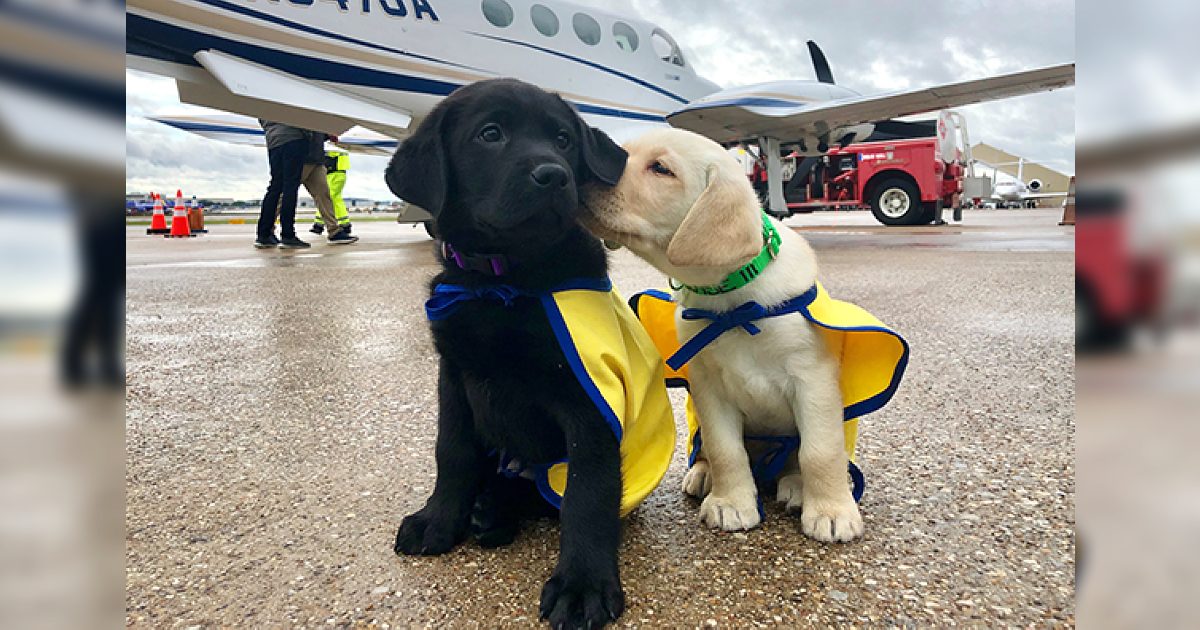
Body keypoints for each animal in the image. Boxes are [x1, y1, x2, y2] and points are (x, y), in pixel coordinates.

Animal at [386, 79, 633, 628]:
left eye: (564, 139)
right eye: (490, 134)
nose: (554, 175)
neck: (503, 283)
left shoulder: (587, 395)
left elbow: (588, 490)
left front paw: (582, 585)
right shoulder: (454, 379)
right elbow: (452, 451)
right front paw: (438, 519)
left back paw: (495, 511)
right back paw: (485, 509)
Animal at [583, 126, 859, 540]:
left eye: (661, 168)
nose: (579, 172)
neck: (734, 303)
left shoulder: (813, 380)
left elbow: (820, 451)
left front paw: (832, 511)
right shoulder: (708, 386)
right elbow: (725, 449)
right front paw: (731, 502)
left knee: (799, 457)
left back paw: (796, 485)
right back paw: (704, 475)